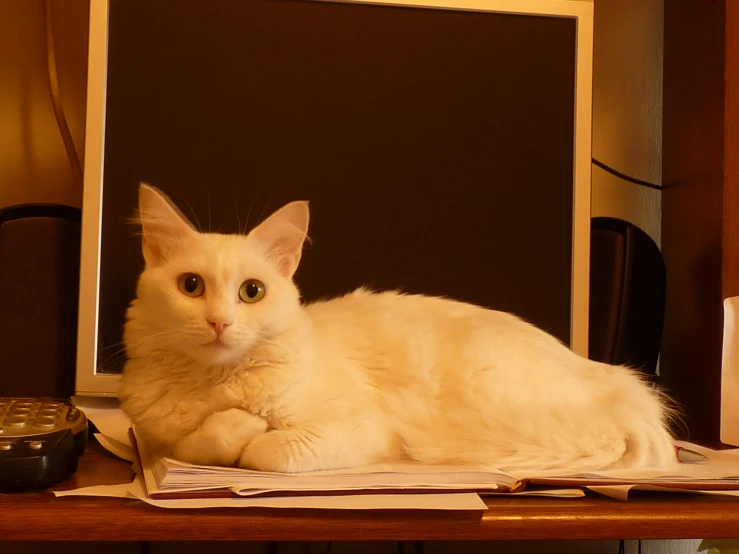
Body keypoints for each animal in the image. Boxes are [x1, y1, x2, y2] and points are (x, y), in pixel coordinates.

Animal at [118, 183, 680, 472]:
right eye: (191, 286)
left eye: (251, 292)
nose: (219, 322)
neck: (218, 384)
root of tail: (622, 387)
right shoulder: (159, 440)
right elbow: (198, 442)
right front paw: (233, 426)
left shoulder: (360, 427)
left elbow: (266, 451)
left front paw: (249, 430)